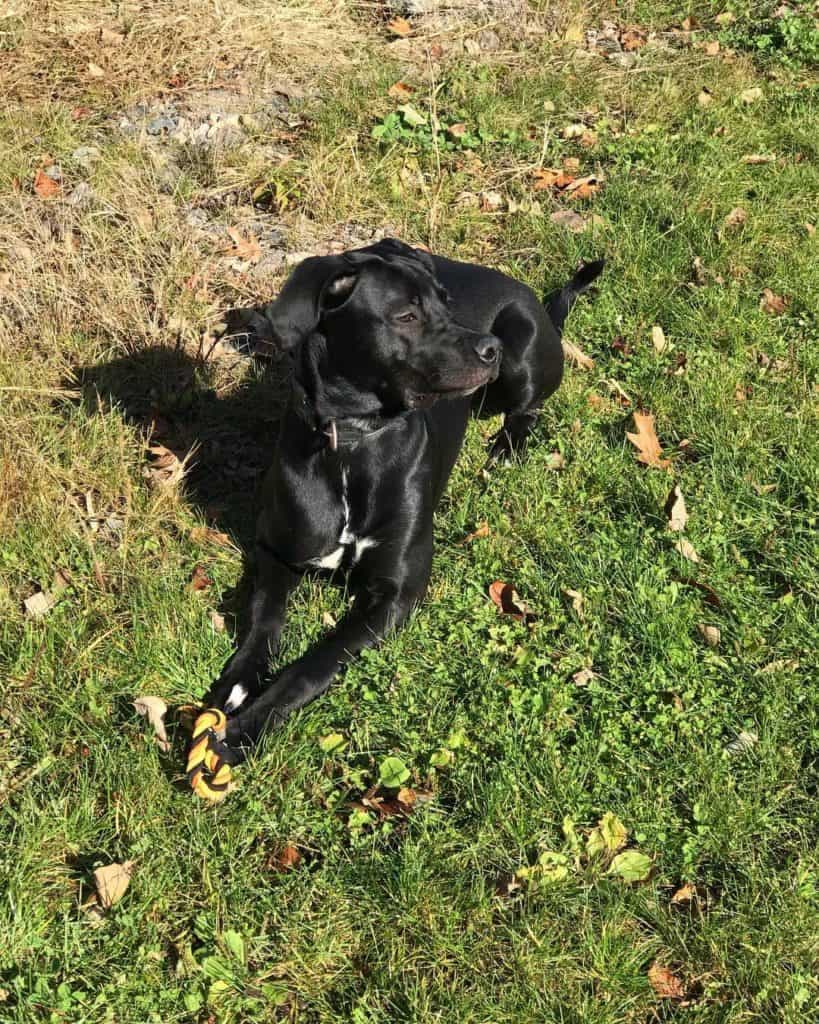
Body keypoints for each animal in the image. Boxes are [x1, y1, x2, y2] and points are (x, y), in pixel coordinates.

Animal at [204, 239, 601, 761]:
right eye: (406, 316)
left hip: (525, 362)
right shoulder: (276, 552)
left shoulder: (395, 594)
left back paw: (506, 448)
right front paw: (236, 683)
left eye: (446, 305)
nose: (489, 348)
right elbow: (262, 621)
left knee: (528, 409)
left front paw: (248, 728)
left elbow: (314, 664)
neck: (352, 441)